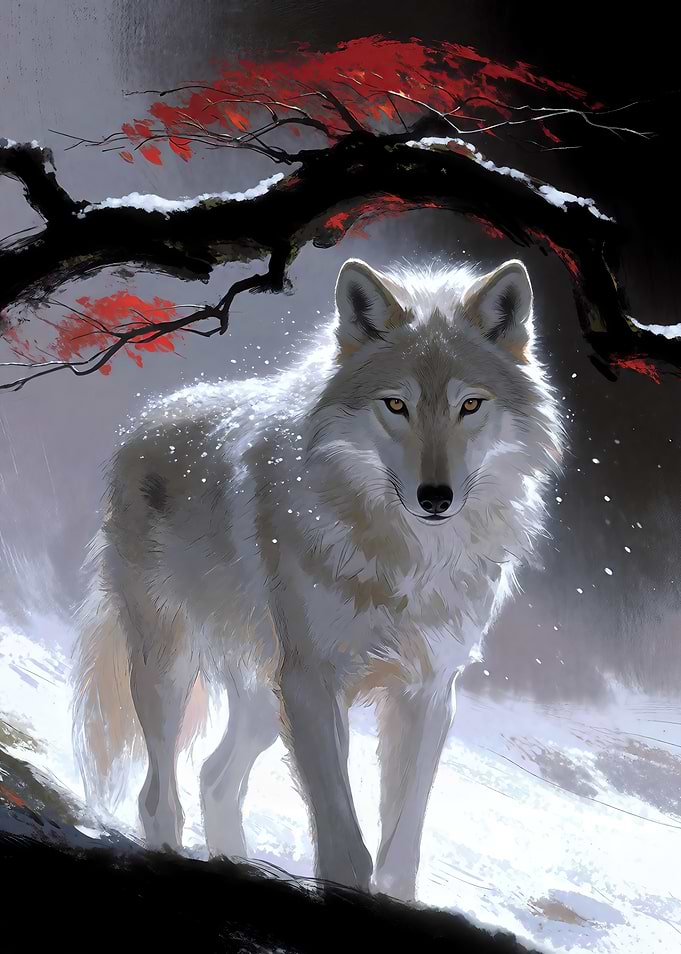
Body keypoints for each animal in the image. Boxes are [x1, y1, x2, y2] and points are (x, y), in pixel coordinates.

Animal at [72, 256, 563, 901]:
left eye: (470, 406)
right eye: (396, 405)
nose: (435, 497)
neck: (407, 562)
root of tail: (143, 421)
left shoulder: (429, 692)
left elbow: (400, 847)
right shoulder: (312, 683)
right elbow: (343, 839)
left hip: (261, 698)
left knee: (214, 778)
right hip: (172, 668)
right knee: (159, 797)